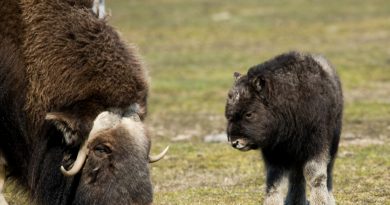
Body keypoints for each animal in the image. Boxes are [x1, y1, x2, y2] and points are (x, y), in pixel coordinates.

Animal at [224, 51, 342, 205]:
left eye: (249, 114)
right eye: (228, 113)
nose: (235, 142)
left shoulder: (316, 143)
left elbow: (314, 173)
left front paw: (321, 201)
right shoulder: (275, 151)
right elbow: (274, 179)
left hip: (332, 142)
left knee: (328, 169)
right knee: (296, 175)